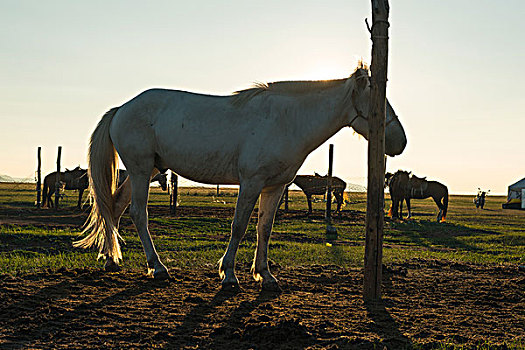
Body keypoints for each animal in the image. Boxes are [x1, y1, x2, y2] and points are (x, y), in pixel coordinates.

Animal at [73, 67, 406, 292]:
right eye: (377, 100)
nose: (399, 142)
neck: (287, 120)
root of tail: (121, 109)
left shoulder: (274, 187)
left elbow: (264, 228)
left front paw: (265, 275)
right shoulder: (251, 183)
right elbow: (239, 226)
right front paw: (229, 274)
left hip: (147, 171)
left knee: (115, 207)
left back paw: (110, 258)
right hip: (142, 171)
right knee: (137, 214)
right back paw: (157, 267)